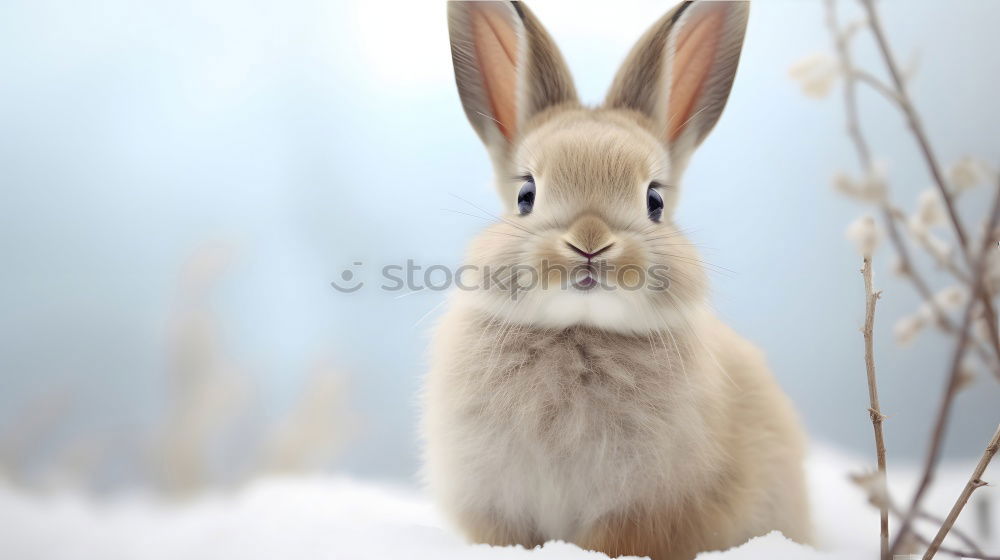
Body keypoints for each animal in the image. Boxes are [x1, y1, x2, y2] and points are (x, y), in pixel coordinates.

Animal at [422, 2, 812, 556]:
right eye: (526, 195)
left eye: (655, 201)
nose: (590, 242)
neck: (579, 331)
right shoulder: (496, 506)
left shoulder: (642, 510)